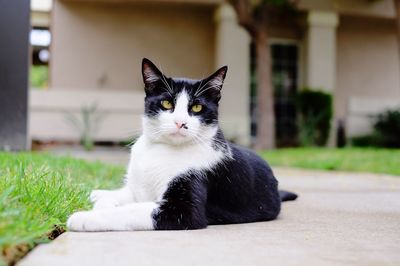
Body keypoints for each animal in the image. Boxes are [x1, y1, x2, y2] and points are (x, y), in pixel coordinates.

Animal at [66, 59, 296, 232]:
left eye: (197, 107)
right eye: (167, 103)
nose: (180, 122)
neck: (161, 149)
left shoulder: (184, 210)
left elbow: (132, 210)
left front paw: (84, 218)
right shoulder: (140, 189)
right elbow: (128, 197)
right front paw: (100, 202)